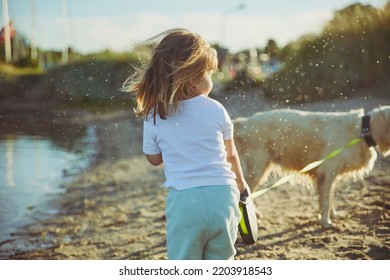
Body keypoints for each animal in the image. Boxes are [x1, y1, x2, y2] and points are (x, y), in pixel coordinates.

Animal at [233, 106, 390, 229]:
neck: (362, 130)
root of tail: (241, 122)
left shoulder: (329, 176)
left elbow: (330, 198)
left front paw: (333, 215)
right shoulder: (327, 172)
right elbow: (325, 201)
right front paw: (326, 222)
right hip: (256, 168)